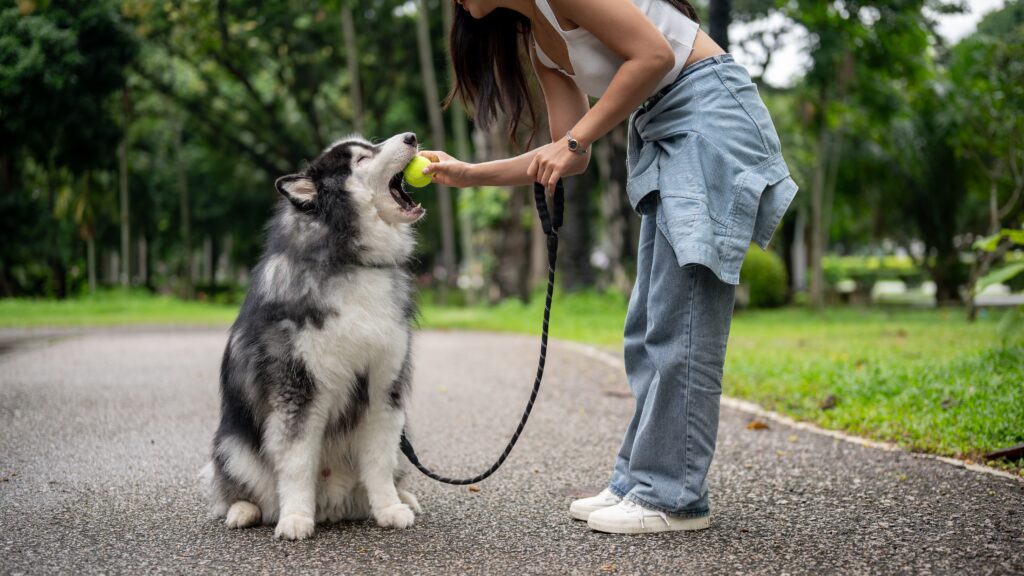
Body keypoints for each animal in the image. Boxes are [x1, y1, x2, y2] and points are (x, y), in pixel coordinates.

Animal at [201, 130, 425, 537]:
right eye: (361, 160)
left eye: (370, 145)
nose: (411, 136)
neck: (352, 263)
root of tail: (334, 505)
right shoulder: (297, 392)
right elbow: (296, 462)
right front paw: (295, 517)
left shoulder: (383, 387)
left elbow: (379, 461)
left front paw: (389, 508)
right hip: (230, 444)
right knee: (233, 487)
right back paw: (243, 510)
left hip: (405, 439)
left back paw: (403, 498)